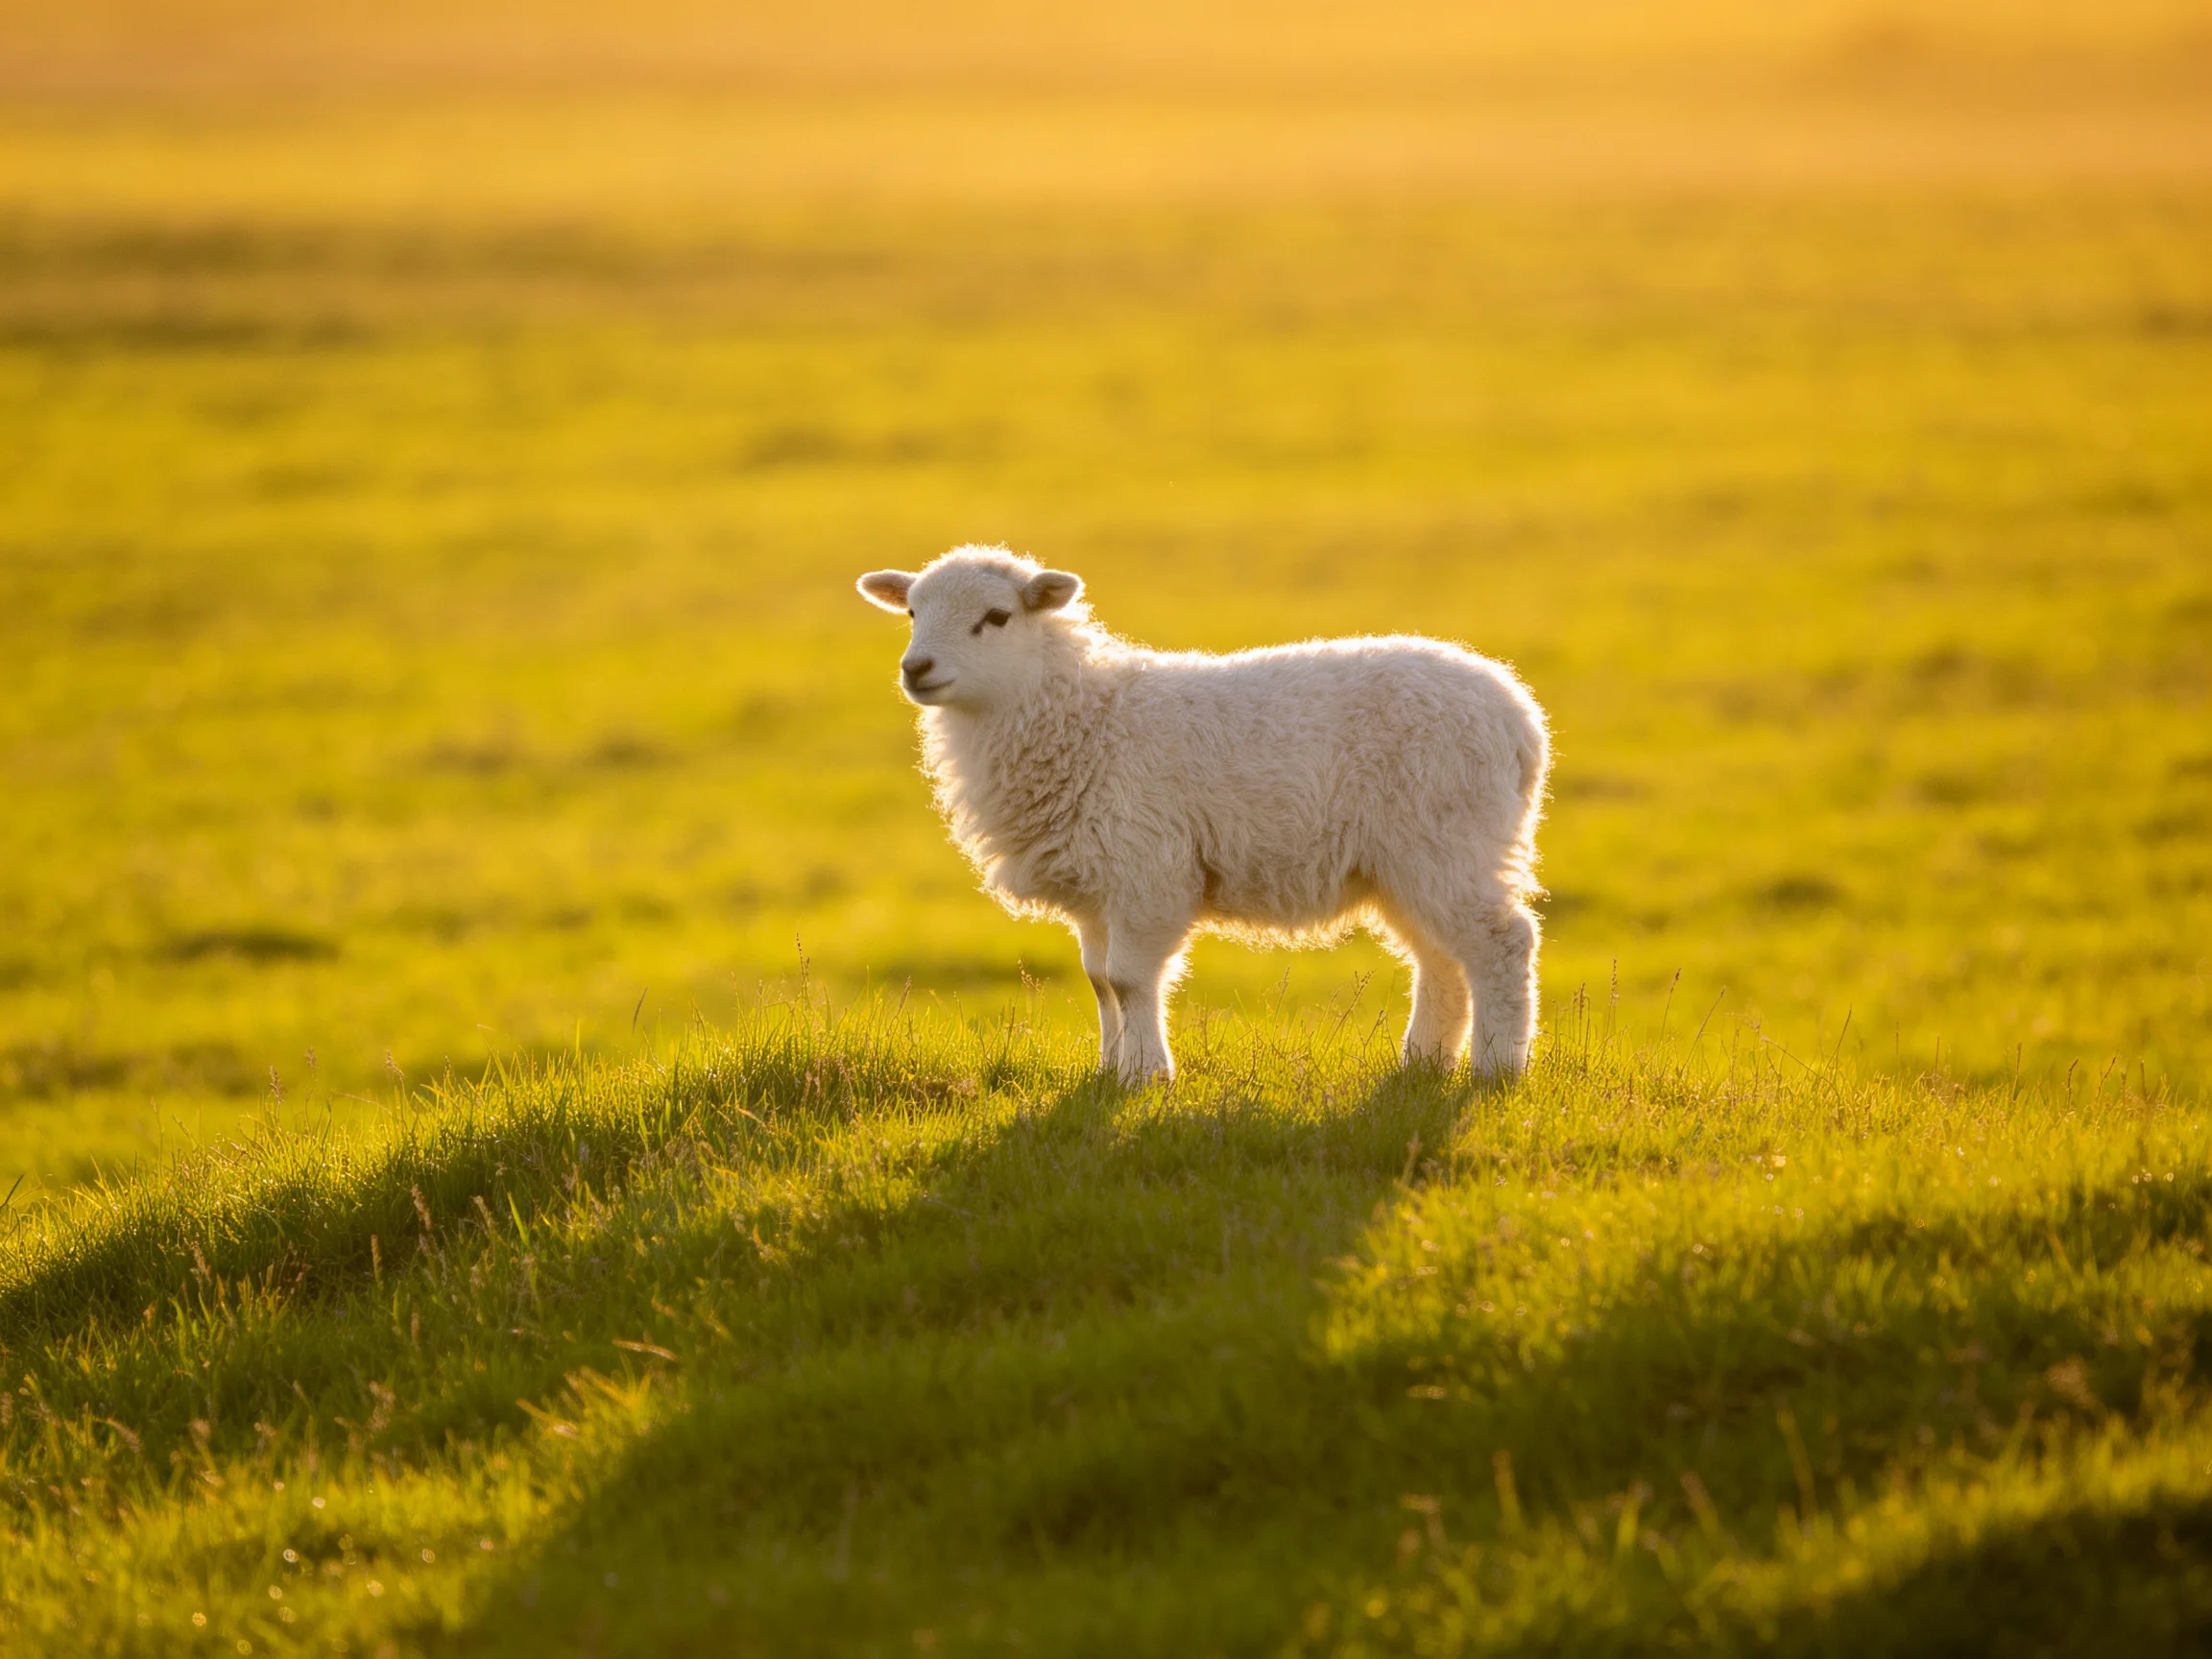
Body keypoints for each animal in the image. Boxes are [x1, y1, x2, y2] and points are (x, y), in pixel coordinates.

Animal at [857, 545, 1550, 1086]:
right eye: (912, 613)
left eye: (997, 617)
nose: (915, 669)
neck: (1084, 718)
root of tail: (1520, 719)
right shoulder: (1096, 885)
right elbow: (1099, 981)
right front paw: (1108, 1069)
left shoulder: (1148, 871)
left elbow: (1129, 980)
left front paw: (1146, 1075)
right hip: (1406, 862)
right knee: (1441, 960)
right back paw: (1425, 1062)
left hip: (1448, 840)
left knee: (1502, 944)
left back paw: (1497, 1068)